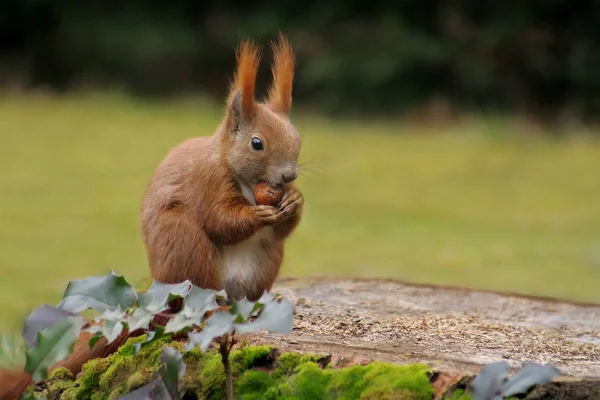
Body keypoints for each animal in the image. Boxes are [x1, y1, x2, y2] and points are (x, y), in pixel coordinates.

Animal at [0, 35, 302, 400]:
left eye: (297, 138)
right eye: (257, 143)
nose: (289, 175)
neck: (244, 180)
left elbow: (283, 229)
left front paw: (296, 201)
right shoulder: (206, 182)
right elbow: (220, 220)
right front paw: (257, 213)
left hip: (263, 265)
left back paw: (256, 308)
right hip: (185, 247)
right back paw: (211, 313)